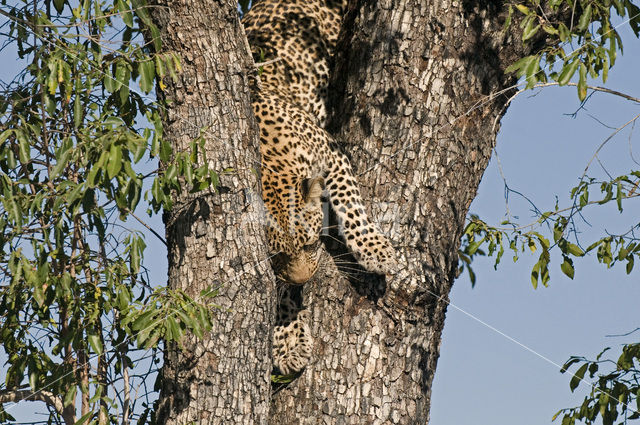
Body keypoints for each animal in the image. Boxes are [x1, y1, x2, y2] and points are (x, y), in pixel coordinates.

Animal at [242, 0, 396, 376]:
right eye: (278, 255)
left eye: (312, 244)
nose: (304, 280)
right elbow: (281, 288)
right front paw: (287, 341)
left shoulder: (333, 153)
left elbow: (350, 206)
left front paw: (376, 252)